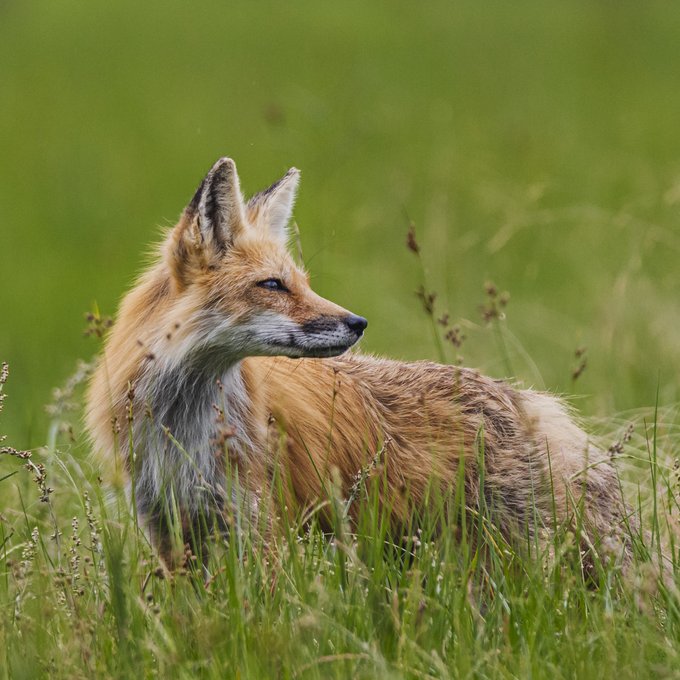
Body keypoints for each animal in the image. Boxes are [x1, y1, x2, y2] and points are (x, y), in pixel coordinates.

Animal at [86, 157, 633, 568]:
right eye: (273, 285)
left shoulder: (261, 530)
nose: (358, 322)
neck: (181, 429)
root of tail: (523, 399)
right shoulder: (170, 534)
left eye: (303, 283)